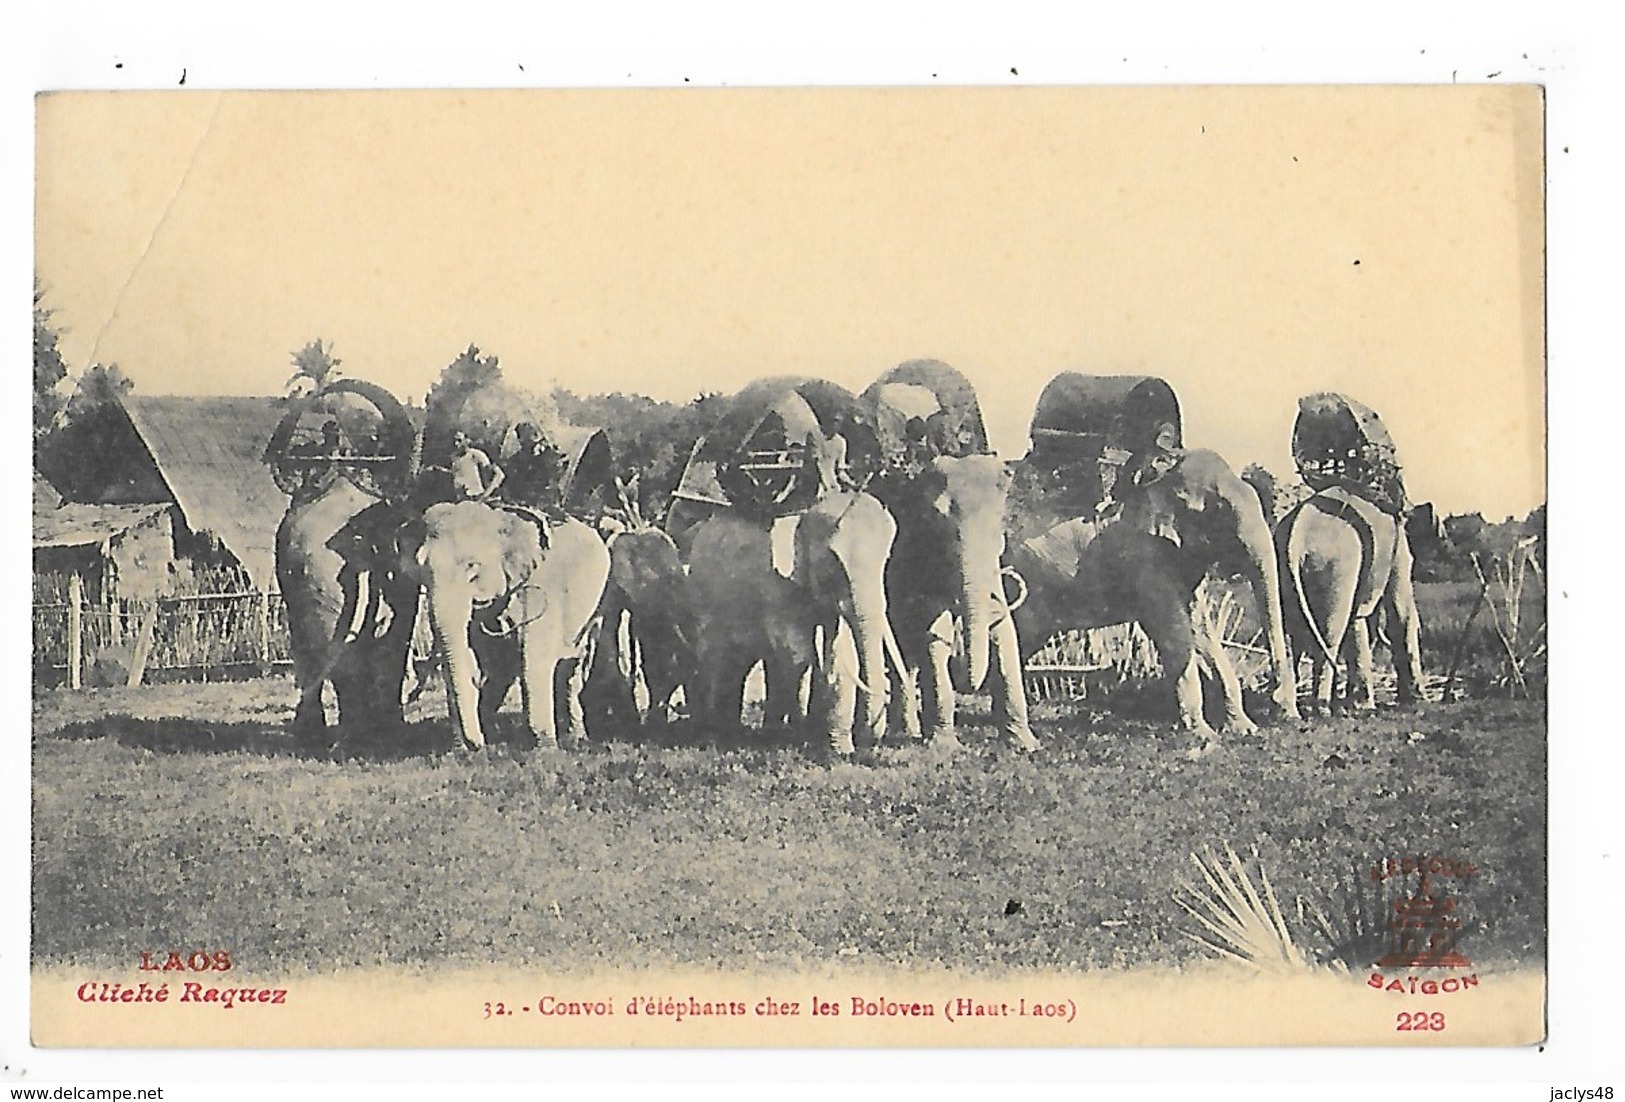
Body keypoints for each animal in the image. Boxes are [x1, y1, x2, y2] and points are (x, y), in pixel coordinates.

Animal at [409, 503, 611, 754]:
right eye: (421, 569)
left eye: (472, 567)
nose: (476, 745)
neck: (498, 519)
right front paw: (464, 750)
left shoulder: (539, 588)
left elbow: (534, 658)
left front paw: (545, 750)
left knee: (571, 667)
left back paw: (575, 740)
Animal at [679, 490, 897, 760]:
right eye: (834, 562)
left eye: (885, 559)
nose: (871, 744)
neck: (804, 515)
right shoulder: (778, 586)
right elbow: (796, 653)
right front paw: (799, 739)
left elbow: (841, 655)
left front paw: (839, 750)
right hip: (705, 599)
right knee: (716, 658)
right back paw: (712, 736)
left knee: (741, 661)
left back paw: (736, 732)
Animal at [877, 451, 1040, 754]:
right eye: (940, 524)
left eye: (999, 528)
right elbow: (934, 636)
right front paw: (943, 747)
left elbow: (1005, 633)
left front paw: (1025, 745)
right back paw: (906, 733)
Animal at [1007, 451, 1300, 750]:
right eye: (1219, 513)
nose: (1285, 710)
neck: (1162, 483)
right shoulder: (1146, 559)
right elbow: (1172, 628)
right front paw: (1205, 736)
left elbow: (1200, 629)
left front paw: (1244, 729)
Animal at [1280, 490, 1436, 715]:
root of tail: (1296, 535)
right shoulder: (1398, 549)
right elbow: (1400, 612)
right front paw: (1415, 701)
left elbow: (1357, 620)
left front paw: (1353, 705)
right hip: (1335, 565)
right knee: (1331, 632)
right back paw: (1322, 711)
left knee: (1287, 632)